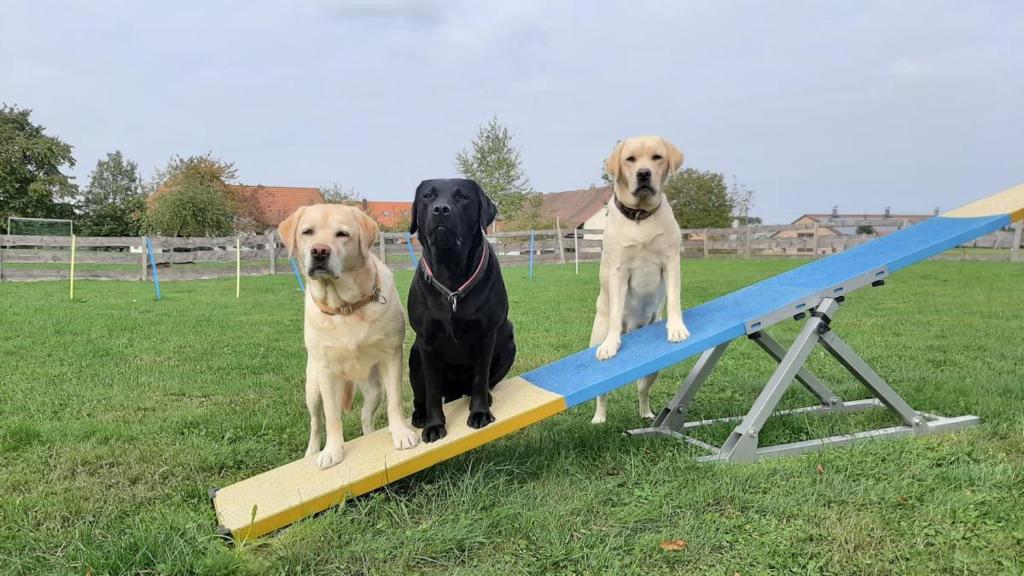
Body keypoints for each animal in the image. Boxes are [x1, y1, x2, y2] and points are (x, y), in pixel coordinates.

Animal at [278, 201, 417, 467]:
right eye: (307, 232)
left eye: (342, 234)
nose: (319, 251)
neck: (345, 307)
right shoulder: (325, 372)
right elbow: (332, 418)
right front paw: (332, 452)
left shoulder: (391, 356)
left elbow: (395, 402)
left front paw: (401, 434)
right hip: (313, 389)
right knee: (315, 422)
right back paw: (312, 451)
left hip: (373, 389)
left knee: (365, 415)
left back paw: (370, 435)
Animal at [405, 177, 516, 440]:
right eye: (428, 196)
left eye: (463, 197)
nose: (441, 209)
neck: (451, 274)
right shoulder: (426, 340)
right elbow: (432, 391)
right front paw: (434, 425)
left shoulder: (486, 334)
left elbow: (480, 378)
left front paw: (480, 412)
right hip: (414, 355)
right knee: (420, 396)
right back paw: (420, 415)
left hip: (508, 338)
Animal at [589, 134, 692, 422]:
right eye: (630, 159)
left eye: (657, 157)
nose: (643, 174)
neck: (640, 218)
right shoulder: (619, 271)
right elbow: (615, 316)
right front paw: (612, 344)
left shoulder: (671, 262)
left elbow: (674, 300)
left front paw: (677, 328)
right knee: (602, 394)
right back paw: (599, 418)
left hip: (653, 370)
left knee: (642, 389)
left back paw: (646, 414)